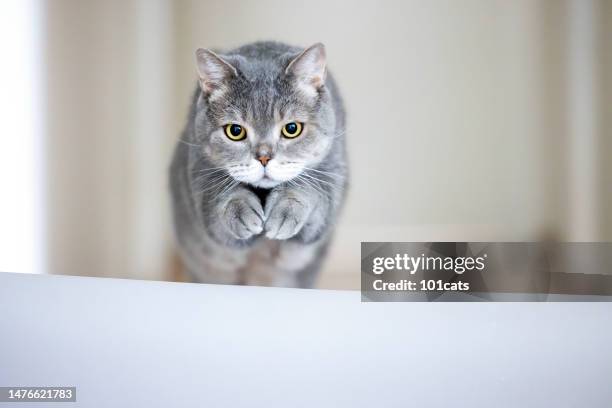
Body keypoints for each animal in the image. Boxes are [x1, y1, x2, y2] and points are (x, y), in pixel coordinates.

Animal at [170, 41, 346, 286]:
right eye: (235, 131)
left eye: (292, 128)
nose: (264, 157)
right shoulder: (201, 180)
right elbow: (224, 199)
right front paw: (241, 211)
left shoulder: (330, 178)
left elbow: (307, 192)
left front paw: (285, 210)